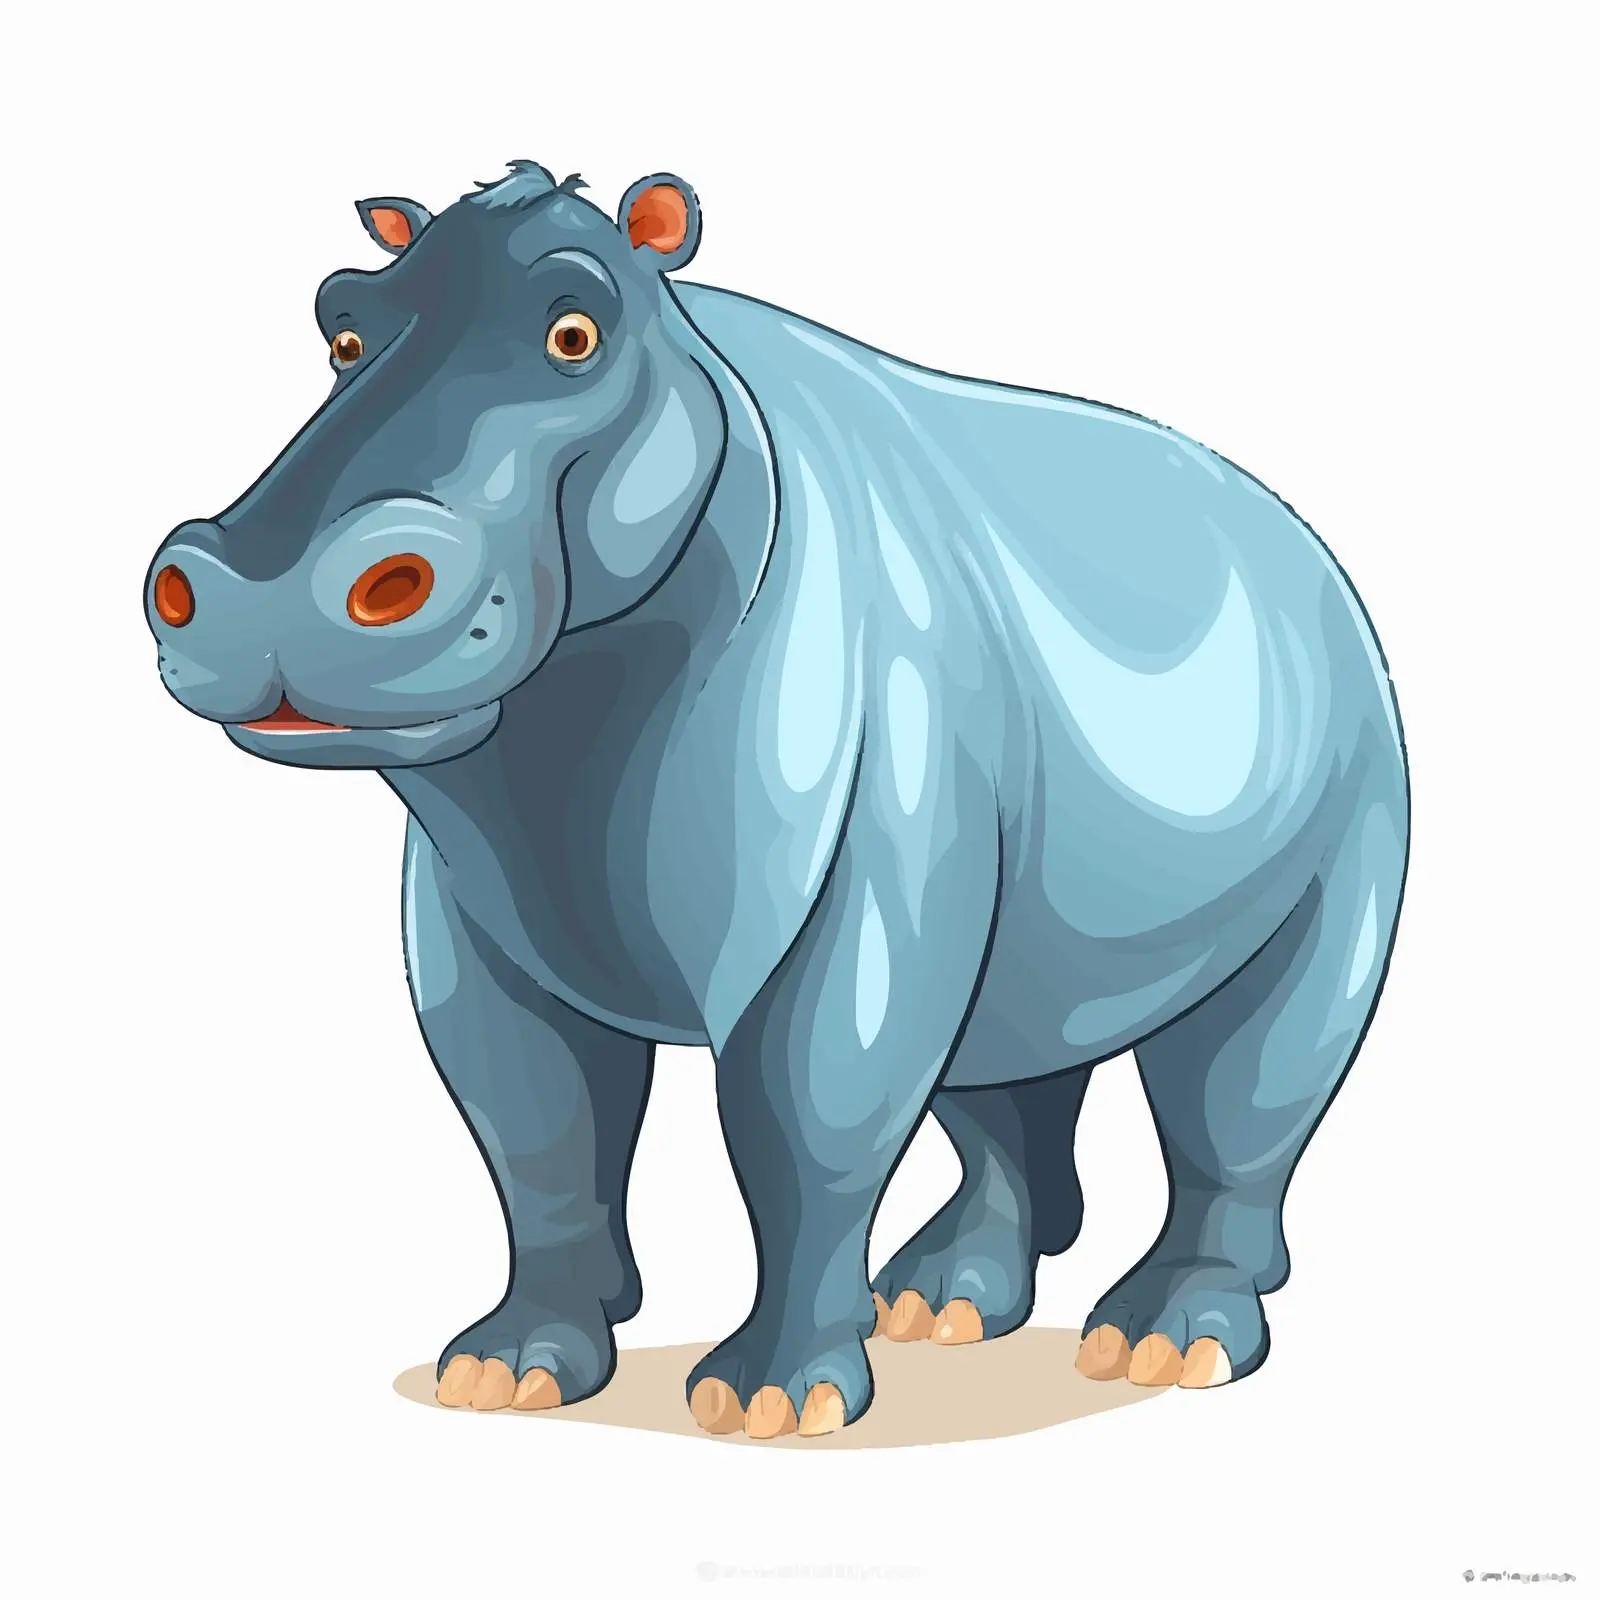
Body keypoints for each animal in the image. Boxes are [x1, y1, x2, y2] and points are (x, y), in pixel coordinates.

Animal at [145, 159, 1409, 1439]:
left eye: (575, 330)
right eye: (340, 327)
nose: (256, 585)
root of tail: (1307, 543)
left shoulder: (849, 890)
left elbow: (803, 1122)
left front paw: (767, 1403)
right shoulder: (475, 925)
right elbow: (536, 1130)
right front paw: (503, 1372)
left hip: (1346, 815)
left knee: (1243, 1088)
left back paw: (1160, 1343)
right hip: (1026, 922)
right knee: (999, 1085)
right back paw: (941, 1306)